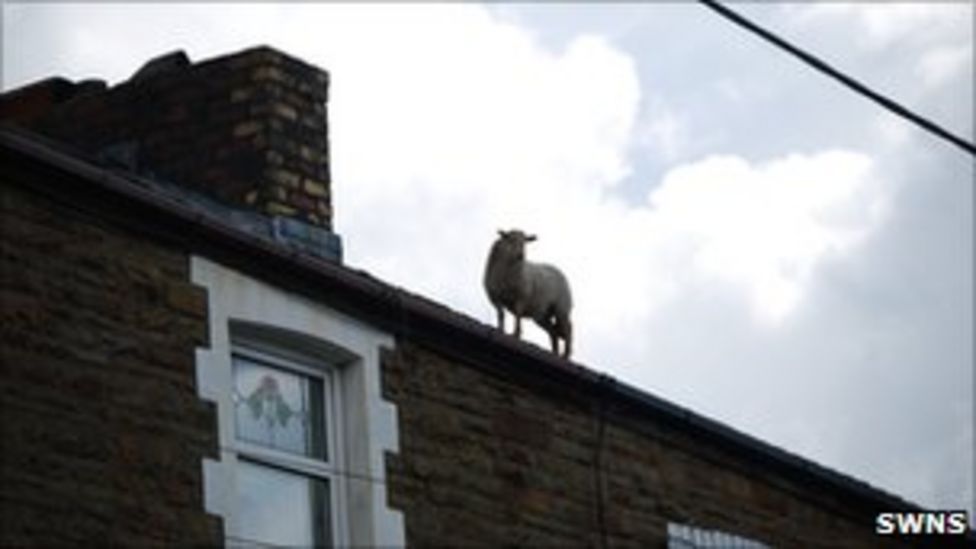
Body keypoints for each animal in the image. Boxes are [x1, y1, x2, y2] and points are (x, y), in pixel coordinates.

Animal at [482, 229, 572, 358]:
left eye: (525, 242)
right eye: (510, 239)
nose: (521, 255)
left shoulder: (521, 297)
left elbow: (517, 315)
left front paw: (516, 334)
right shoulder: (495, 298)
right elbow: (501, 315)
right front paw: (500, 330)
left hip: (561, 308)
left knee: (568, 329)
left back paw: (566, 354)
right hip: (542, 315)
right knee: (553, 331)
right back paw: (554, 353)